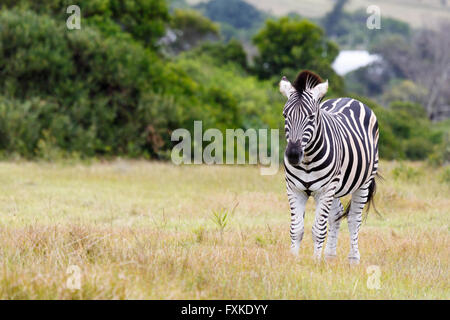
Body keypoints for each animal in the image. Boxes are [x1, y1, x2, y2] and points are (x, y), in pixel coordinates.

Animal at [278, 70, 380, 262]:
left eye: (311, 116)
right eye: (285, 115)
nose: (293, 155)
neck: (307, 160)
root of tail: (349, 98)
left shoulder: (325, 190)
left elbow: (318, 230)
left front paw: (315, 262)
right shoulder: (295, 189)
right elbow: (296, 229)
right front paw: (293, 261)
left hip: (363, 183)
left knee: (354, 219)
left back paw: (353, 258)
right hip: (336, 188)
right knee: (336, 215)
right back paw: (330, 255)